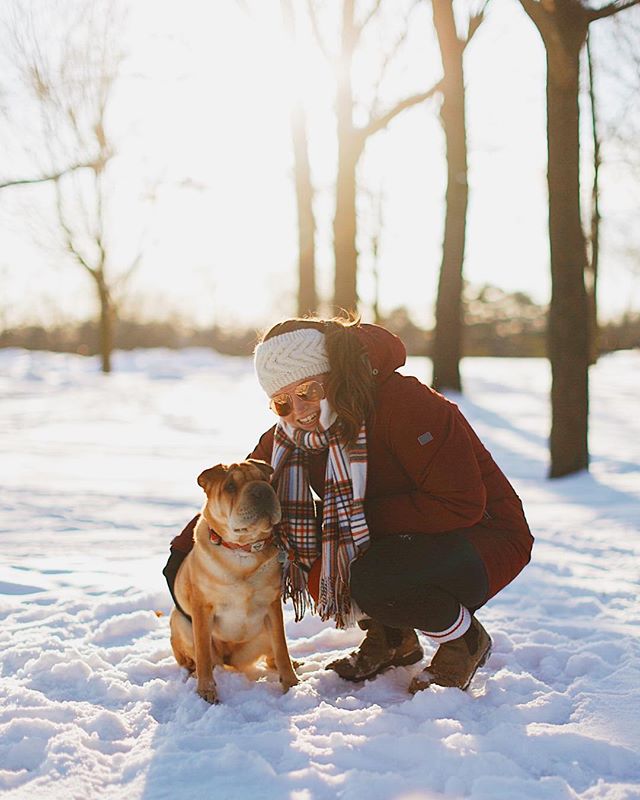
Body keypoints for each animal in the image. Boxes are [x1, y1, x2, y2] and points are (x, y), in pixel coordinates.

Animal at [168, 460, 298, 704]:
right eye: (230, 486)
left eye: (265, 479)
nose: (261, 490)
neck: (242, 551)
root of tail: (231, 660)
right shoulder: (202, 608)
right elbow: (203, 654)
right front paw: (206, 691)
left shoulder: (272, 606)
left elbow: (281, 647)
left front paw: (292, 684)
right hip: (180, 621)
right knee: (197, 659)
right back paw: (193, 672)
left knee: (272, 653)